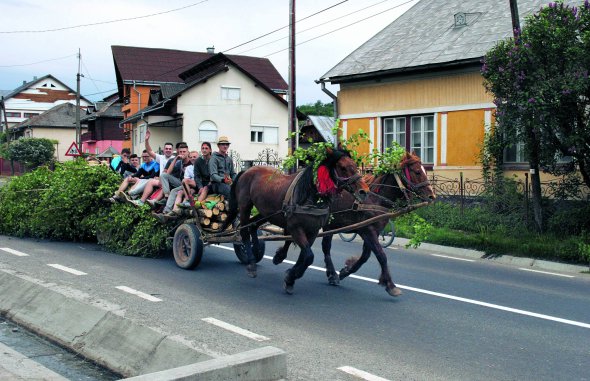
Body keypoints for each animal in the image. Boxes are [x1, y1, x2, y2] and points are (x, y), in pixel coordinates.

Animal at [228, 147, 370, 292]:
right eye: (342, 167)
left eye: (354, 165)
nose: (364, 191)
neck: (308, 195)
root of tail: (247, 171)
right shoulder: (295, 228)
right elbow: (309, 256)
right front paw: (290, 277)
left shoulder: (313, 231)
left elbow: (304, 256)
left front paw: (290, 274)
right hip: (245, 206)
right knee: (244, 231)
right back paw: (251, 262)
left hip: (267, 212)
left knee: (253, 225)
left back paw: (256, 248)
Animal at [276, 150, 438, 296]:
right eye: (417, 172)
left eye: (424, 170)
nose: (432, 196)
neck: (375, 199)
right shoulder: (368, 231)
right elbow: (381, 255)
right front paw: (390, 285)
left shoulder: (373, 231)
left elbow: (366, 256)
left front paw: (346, 271)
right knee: (301, 239)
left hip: (329, 225)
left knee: (322, 246)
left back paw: (331, 274)